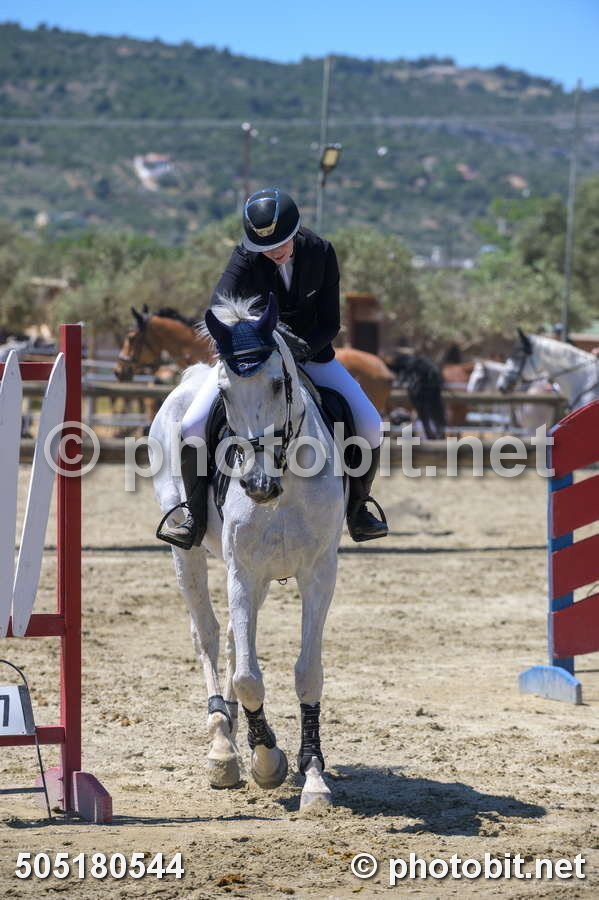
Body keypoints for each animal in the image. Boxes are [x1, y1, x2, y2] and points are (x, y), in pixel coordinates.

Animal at [149, 294, 346, 809]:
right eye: (225, 392)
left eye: (278, 382)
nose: (257, 486)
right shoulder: (241, 570)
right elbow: (247, 677)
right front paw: (266, 760)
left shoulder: (319, 572)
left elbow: (307, 671)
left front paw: (312, 773)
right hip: (189, 556)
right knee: (209, 636)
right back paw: (223, 747)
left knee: (236, 644)